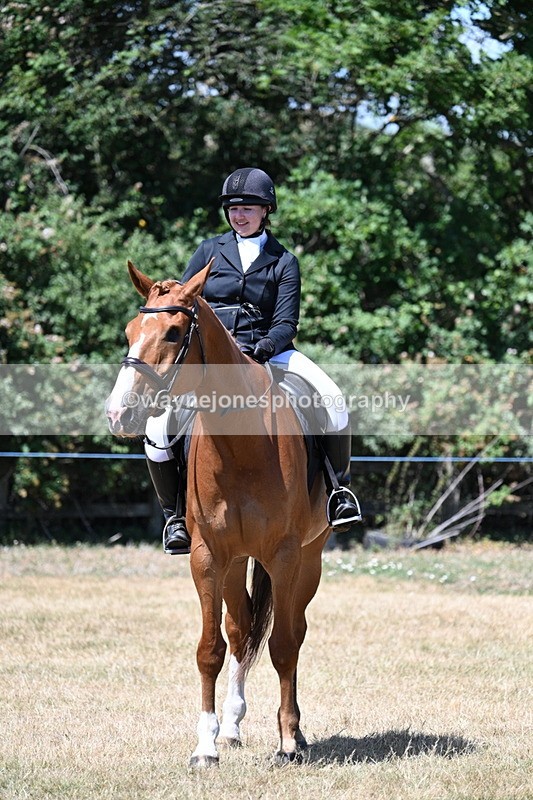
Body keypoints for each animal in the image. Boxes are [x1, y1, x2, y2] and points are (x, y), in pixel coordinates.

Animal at [105, 260, 332, 768]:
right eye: (129, 331)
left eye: (174, 333)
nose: (118, 414)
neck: (241, 447)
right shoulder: (207, 556)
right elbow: (211, 648)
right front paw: (205, 746)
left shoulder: (286, 556)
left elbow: (283, 646)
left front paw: (288, 741)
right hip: (234, 562)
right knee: (241, 628)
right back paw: (231, 726)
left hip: (309, 559)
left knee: (293, 631)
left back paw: (296, 732)